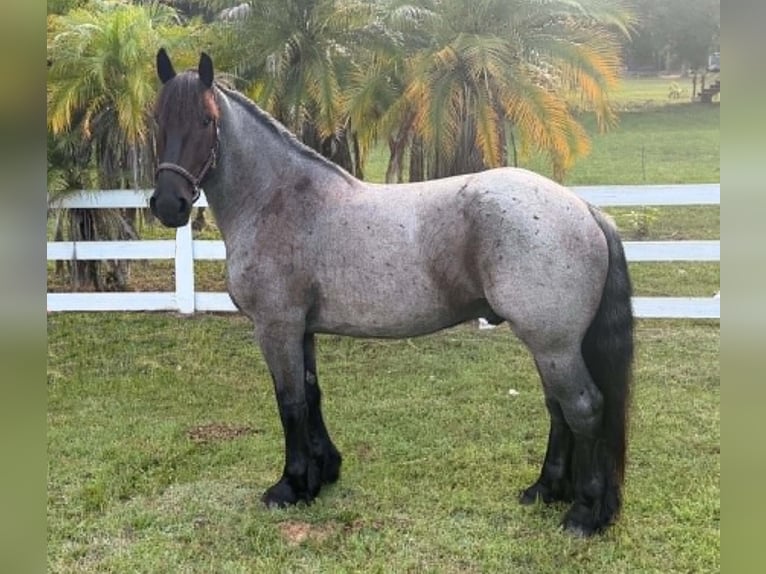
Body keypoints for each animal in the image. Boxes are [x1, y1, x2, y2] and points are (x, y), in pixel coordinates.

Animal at [150, 49, 634, 536]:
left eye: (206, 120)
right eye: (158, 121)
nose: (168, 204)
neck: (278, 200)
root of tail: (586, 209)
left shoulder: (276, 327)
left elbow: (290, 403)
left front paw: (289, 486)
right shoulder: (301, 329)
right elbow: (311, 395)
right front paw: (322, 473)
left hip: (554, 344)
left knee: (583, 408)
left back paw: (584, 513)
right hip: (551, 346)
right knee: (558, 408)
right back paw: (545, 491)